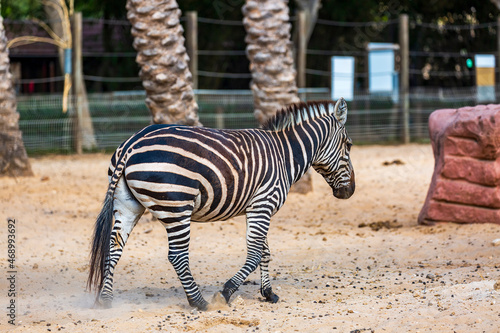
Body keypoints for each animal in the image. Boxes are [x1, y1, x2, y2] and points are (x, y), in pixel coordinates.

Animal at [89, 97, 356, 310]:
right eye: (349, 145)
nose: (350, 191)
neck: (285, 154)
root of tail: (133, 142)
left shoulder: (257, 207)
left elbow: (265, 252)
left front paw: (268, 293)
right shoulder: (264, 204)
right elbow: (255, 253)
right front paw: (226, 292)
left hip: (128, 205)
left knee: (115, 248)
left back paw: (106, 300)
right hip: (177, 207)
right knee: (177, 256)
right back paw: (199, 302)